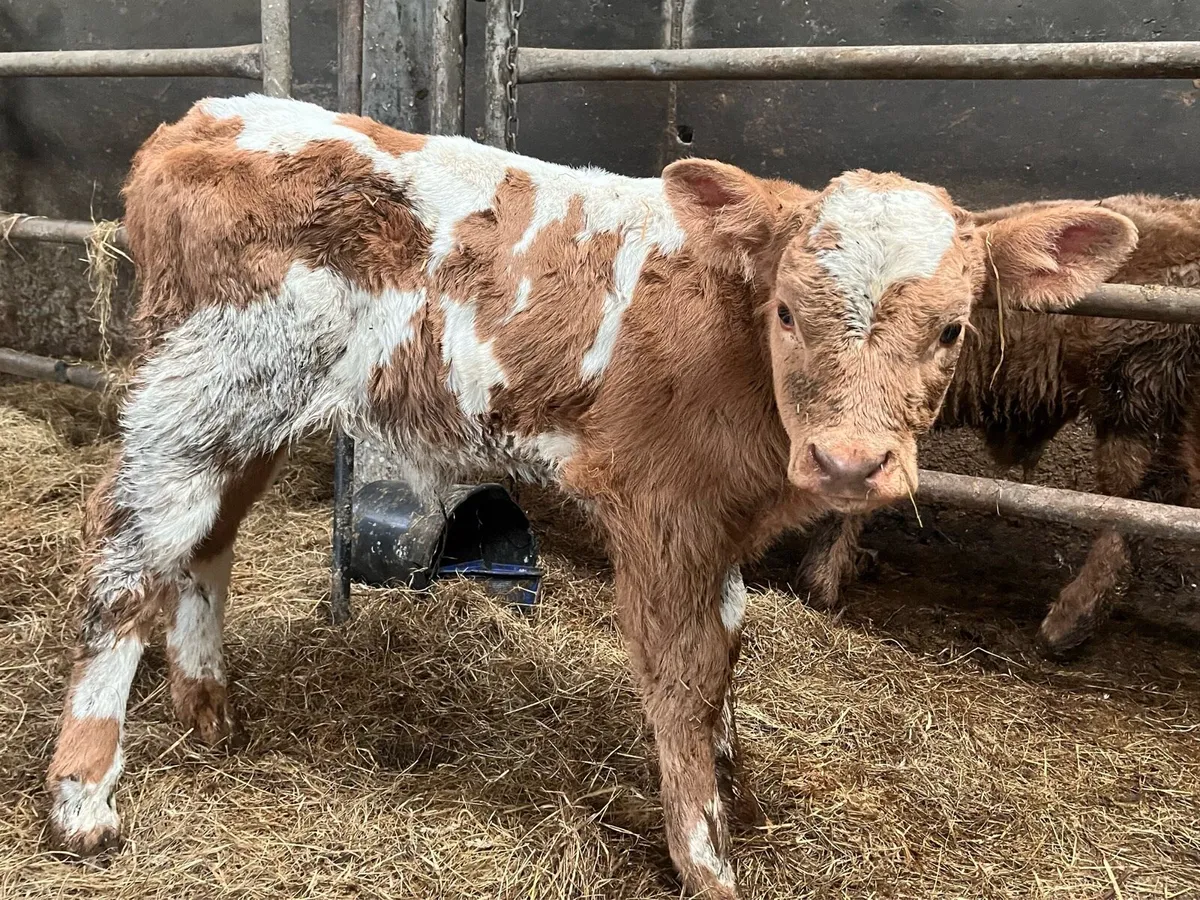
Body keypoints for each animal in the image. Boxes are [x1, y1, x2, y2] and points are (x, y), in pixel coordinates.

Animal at [43, 93, 1136, 898]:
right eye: (788, 310)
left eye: (953, 329)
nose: (849, 464)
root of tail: (201, 119)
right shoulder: (663, 508)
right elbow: (685, 669)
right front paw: (706, 856)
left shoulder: (719, 522)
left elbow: (730, 644)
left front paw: (736, 785)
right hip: (210, 378)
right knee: (129, 541)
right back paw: (83, 799)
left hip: (253, 403)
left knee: (207, 535)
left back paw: (210, 710)